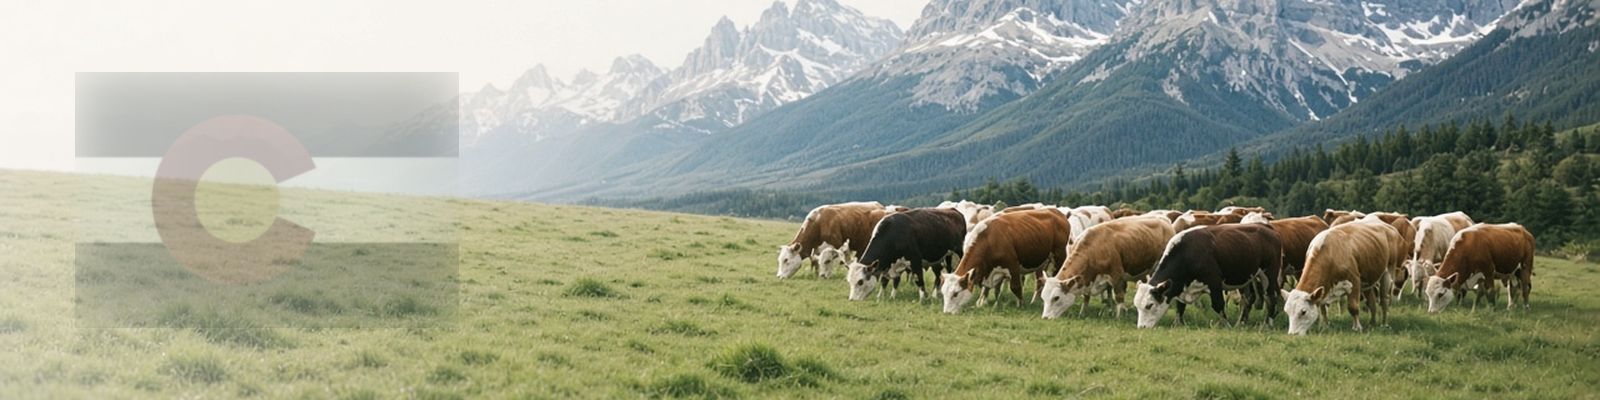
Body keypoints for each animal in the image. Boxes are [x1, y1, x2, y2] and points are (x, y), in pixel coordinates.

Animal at [940, 209, 1072, 314]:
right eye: (943, 293)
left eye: (955, 293)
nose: (947, 312)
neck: (988, 239)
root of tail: (1057, 212)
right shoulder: (990, 271)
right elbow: (989, 289)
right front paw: (983, 303)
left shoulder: (1012, 266)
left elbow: (1015, 287)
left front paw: (1021, 304)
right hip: (1041, 263)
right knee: (1039, 281)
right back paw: (1034, 301)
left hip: (1059, 256)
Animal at [1040, 216, 1174, 319]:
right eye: (1043, 297)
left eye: (1056, 298)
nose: (1045, 318)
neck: (1094, 248)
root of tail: (1164, 221)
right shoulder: (1088, 278)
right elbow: (1087, 297)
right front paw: (1082, 313)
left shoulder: (1116, 276)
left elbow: (1118, 297)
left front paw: (1118, 317)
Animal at [1133, 224, 1284, 328]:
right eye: (1137, 306)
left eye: (1149, 305)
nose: (1142, 327)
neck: (1187, 253)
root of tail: (1267, 228)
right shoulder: (1182, 286)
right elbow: (1180, 306)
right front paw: (1178, 323)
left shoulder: (1214, 282)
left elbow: (1218, 305)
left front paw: (1227, 325)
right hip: (1246, 277)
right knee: (1247, 299)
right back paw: (1241, 323)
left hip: (1269, 274)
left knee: (1270, 298)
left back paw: (1267, 324)